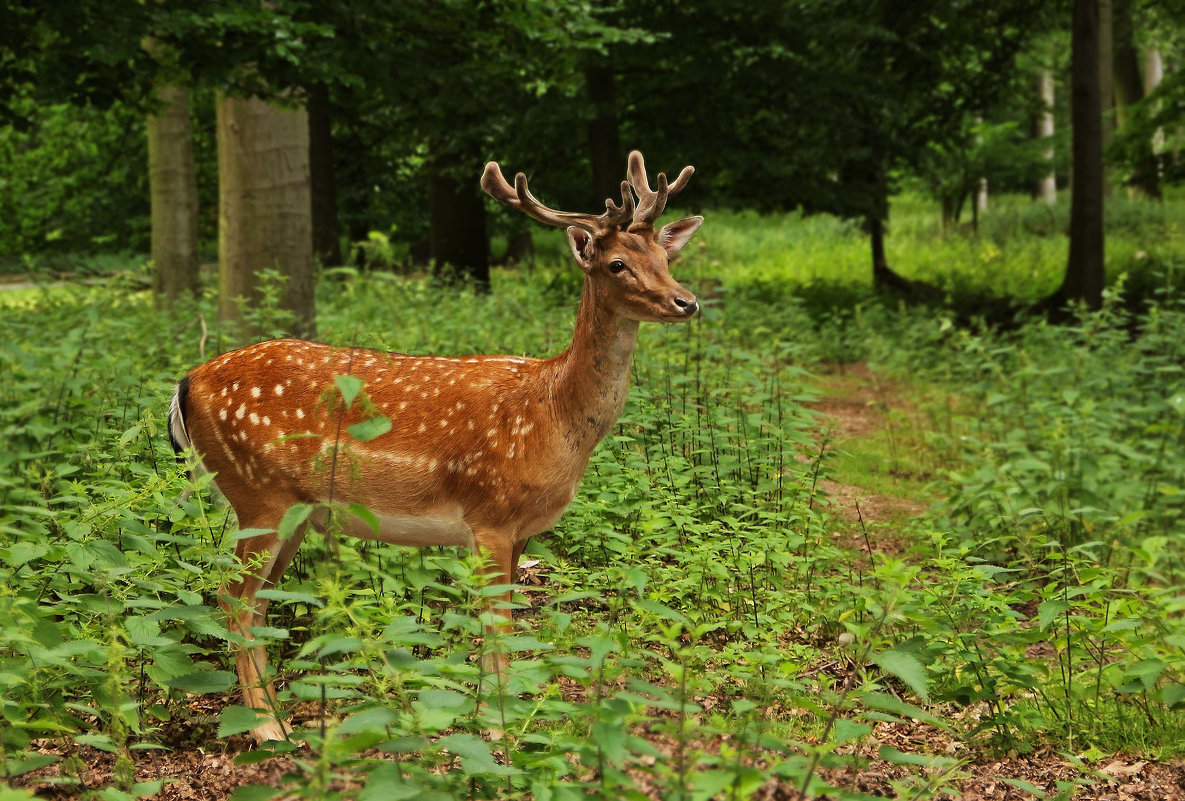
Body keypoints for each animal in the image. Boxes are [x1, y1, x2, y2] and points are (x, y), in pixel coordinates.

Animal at [167, 148, 701, 739]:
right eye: (617, 264)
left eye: (665, 256)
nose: (686, 301)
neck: (553, 419)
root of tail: (186, 382)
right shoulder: (490, 515)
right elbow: (496, 629)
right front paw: (497, 728)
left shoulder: (521, 533)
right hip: (258, 494)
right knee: (232, 601)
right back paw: (269, 730)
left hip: (292, 511)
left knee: (256, 604)